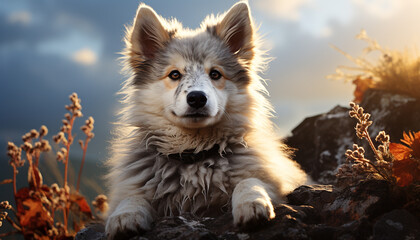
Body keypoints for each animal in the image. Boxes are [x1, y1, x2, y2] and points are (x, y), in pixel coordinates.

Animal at [104, 1, 308, 238]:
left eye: (215, 74)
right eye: (174, 74)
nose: (197, 98)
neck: (194, 154)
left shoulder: (276, 181)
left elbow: (249, 180)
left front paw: (252, 202)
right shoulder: (131, 187)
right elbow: (132, 197)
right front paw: (124, 216)